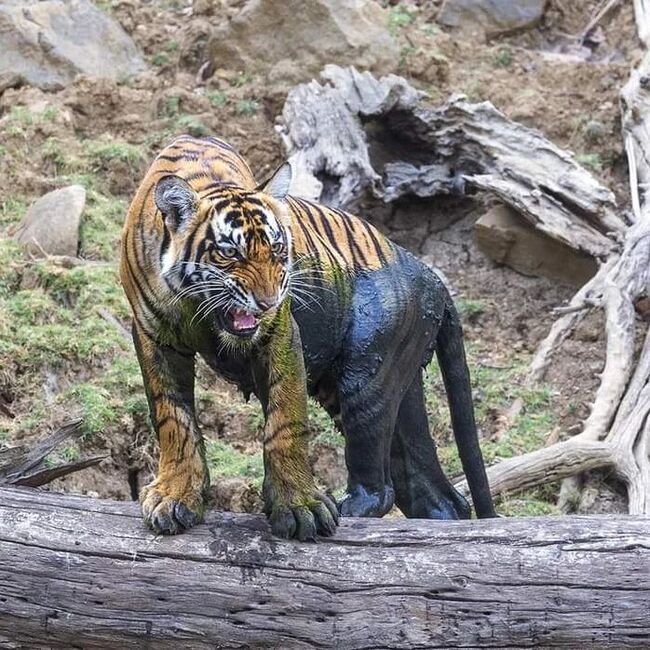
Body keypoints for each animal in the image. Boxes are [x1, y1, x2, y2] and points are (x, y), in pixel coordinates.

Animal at [120, 134, 496, 540]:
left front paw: (300, 506)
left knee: (380, 488)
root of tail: (430, 273)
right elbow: (173, 418)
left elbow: (286, 420)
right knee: (434, 494)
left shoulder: (281, 335)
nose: (268, 301)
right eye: (230, 252)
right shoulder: (154, 335)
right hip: (395, 388)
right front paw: (175, 497)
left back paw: (347, 509)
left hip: (367, 379)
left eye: (277, 248)